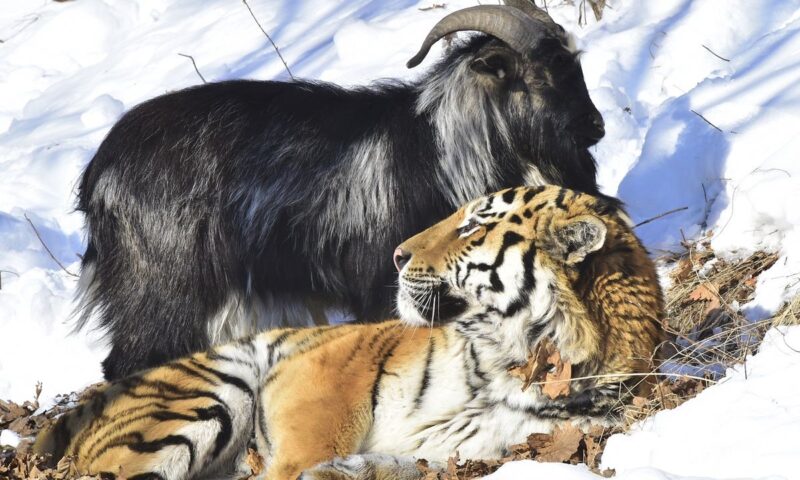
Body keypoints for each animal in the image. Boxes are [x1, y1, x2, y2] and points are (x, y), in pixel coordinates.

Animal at [34, 185, 665, 480]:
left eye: (474, 227)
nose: (398, 253)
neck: (513, 358)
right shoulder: (328, 367)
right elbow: (312, 442)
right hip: (205, 393)